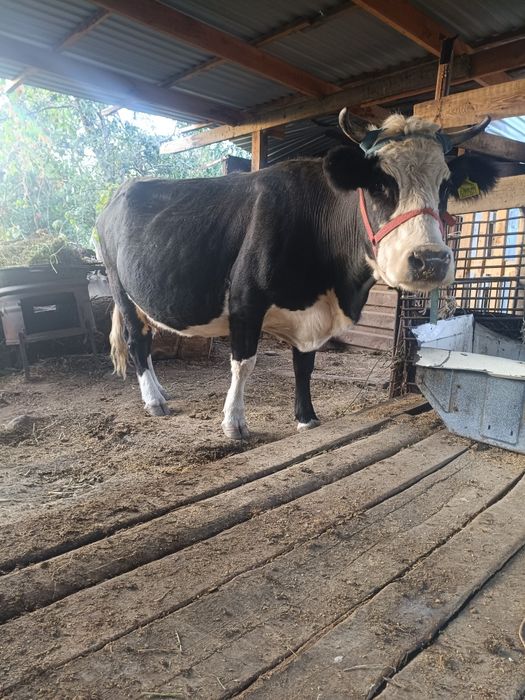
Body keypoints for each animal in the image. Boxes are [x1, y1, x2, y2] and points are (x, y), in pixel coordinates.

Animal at [96, 111, 498, 439]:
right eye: (379, 183)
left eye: (446, 186)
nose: (430, 260)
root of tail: (121, 191)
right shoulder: (245, 300)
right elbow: (244, 363)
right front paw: (234, 423)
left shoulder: (312, 316)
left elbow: (305, 364)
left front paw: (307, 417)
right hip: (118, 285)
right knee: (136, 340)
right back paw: (154, 401)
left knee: (146, 338)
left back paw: (159, 391)